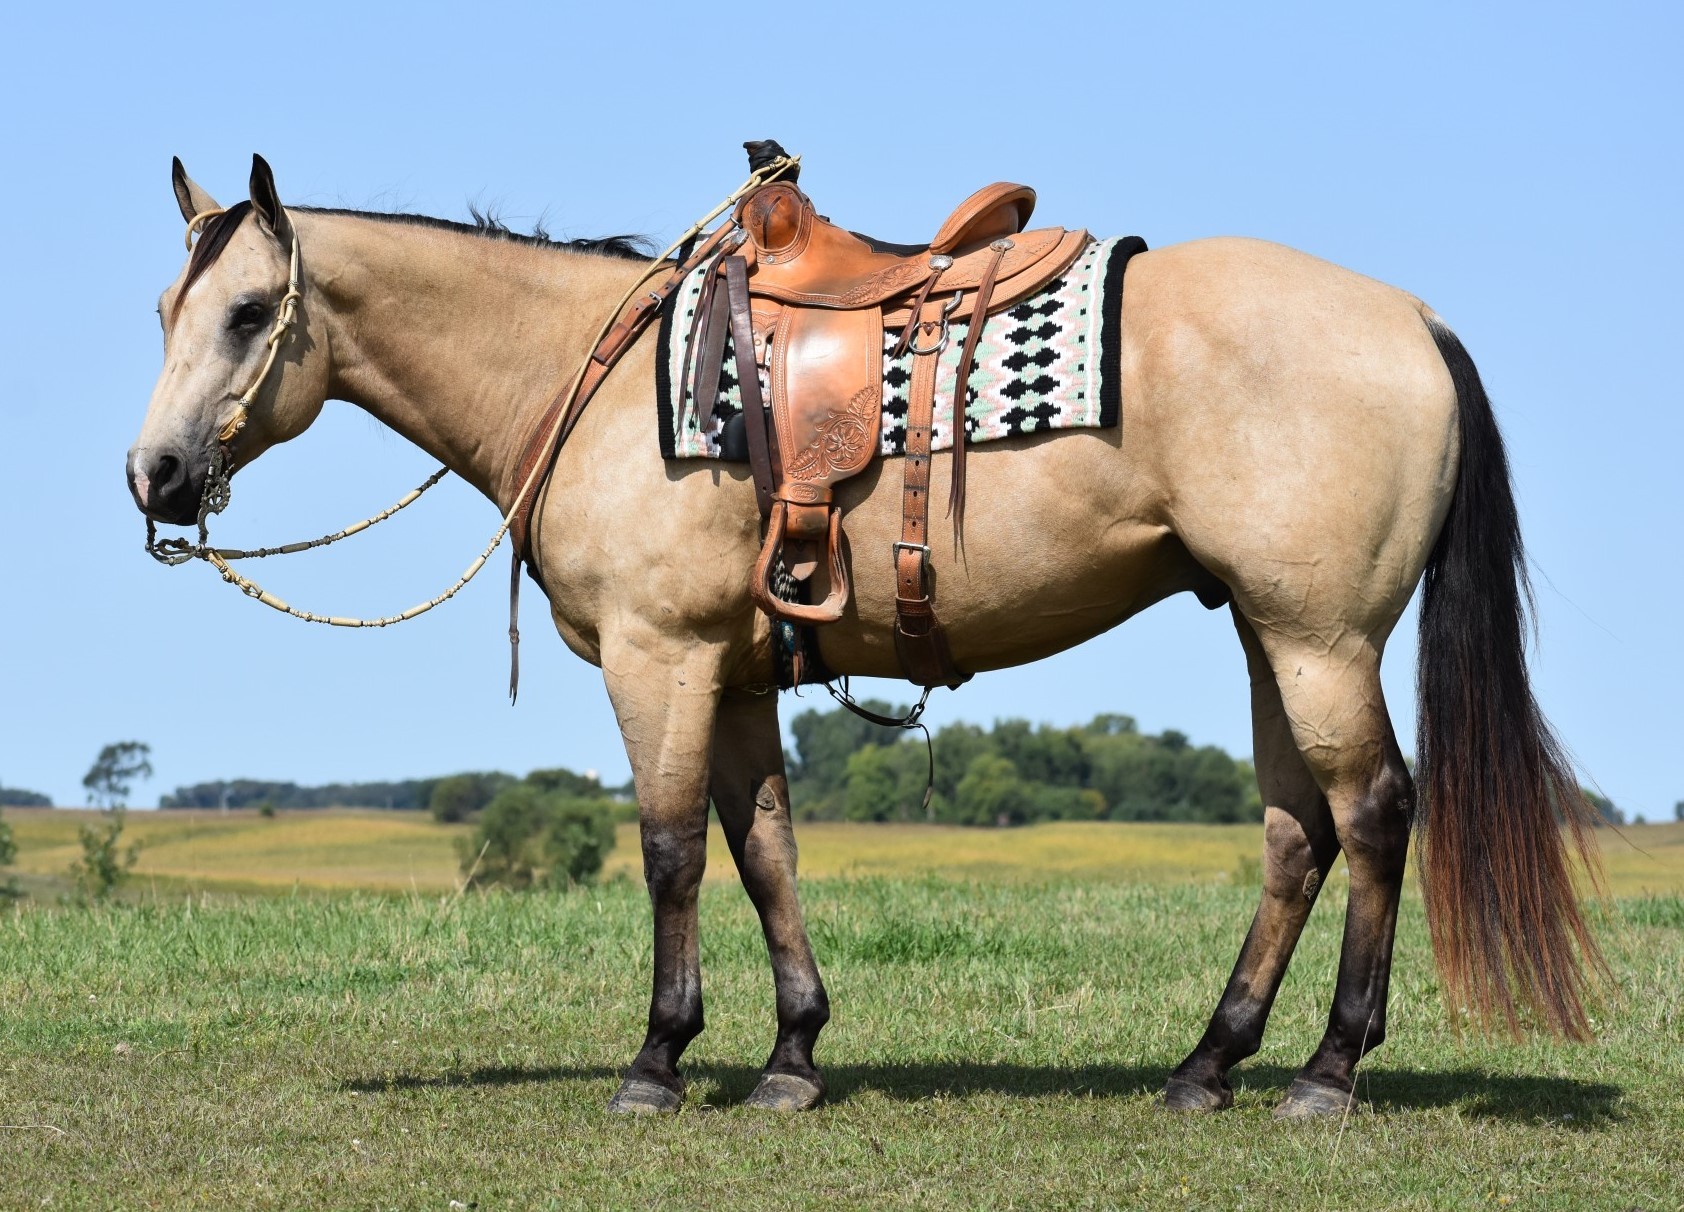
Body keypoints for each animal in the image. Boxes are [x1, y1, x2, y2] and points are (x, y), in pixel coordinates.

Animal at [127, 156, 1603, 1124]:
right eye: (165, 313)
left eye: (249, 315)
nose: (156, 475)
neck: (590, 381)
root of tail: (1410, 320)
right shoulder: (731, 673)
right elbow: (763, 849)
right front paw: (790, 1058)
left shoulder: (661, 658)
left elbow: (669, 852)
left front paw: (656, 1064)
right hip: (1266, 632)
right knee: (1298, 830)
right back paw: (1206, 1066)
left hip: (1318, 635)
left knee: (1375, 813)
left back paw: (1326, 1073)